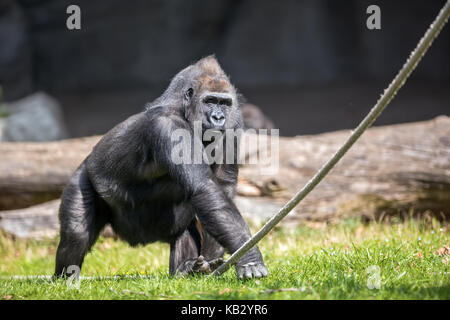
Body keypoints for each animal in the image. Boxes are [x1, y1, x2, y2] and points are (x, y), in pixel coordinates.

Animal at [55, 56, 268, 278]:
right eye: (210, 101)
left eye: (224, 103)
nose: (218, 118)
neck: (184, 109)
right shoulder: (168, 125)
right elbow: (205, 187)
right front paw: (250, 257)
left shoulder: (234, 122)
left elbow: (221, 186)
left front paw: (214, 258)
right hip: (83, 175)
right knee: (76, 234)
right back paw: (65, 278)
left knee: (183, 224)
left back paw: (183, 269)